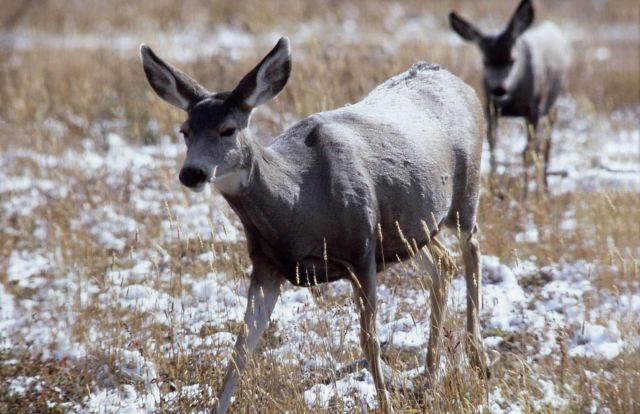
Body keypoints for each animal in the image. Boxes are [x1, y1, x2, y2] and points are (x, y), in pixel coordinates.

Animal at [141, 37, 490, 412]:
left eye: (228, 129)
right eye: (185, 131)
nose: (191, 173)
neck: (298, 203)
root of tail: (458, 82)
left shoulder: (361, 249)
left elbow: (369, 342)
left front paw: (386, 402)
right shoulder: (266, 264)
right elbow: (240, 349)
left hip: (465, 196)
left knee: (471, 248)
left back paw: (478, 358)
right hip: (412, 226)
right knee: (443, 263)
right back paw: (428, 378)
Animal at [450, 0, 568, 193]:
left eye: (512, 60)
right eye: (485, 62)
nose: (499, 89)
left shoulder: (534, 108)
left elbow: (528, 151)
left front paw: (526, 194)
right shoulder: (490, 107)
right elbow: (493, 144)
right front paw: (496, 189)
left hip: (551, 104)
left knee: (546, 142)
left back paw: (544, 186)